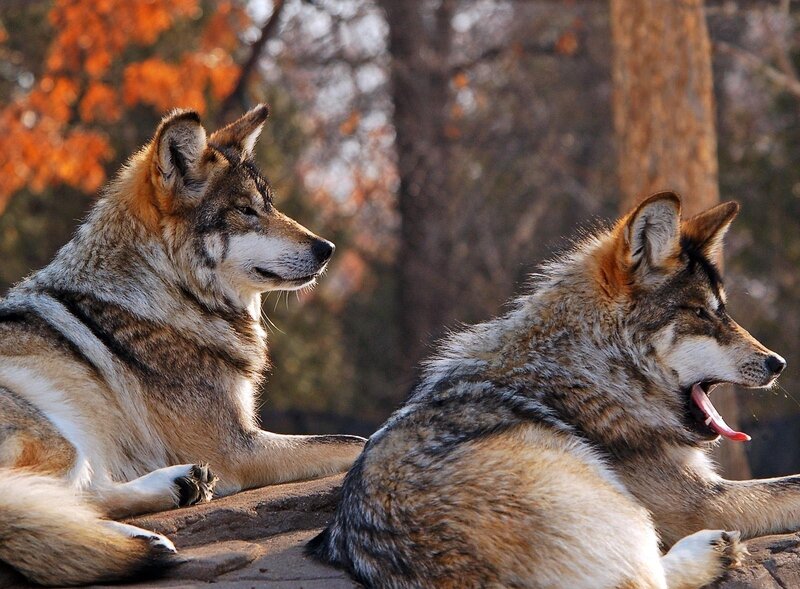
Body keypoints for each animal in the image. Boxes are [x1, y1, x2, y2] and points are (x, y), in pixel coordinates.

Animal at [0, 105, 365, 586]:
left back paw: (174, 494)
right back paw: (142, 536)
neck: (169, 292)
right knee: (38, 503)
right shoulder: (237, 449)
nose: (328, 248)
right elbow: (356, 442)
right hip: (57, 434)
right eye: (246, 211)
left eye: (270, 205)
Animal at [309, 193, 792, 589]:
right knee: (648, 579)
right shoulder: (706, 502)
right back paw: (713, 551)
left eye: (723, 311)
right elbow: (791, 486)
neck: (590, 367)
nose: (778, 363)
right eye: (700, 313)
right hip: (624, 508)